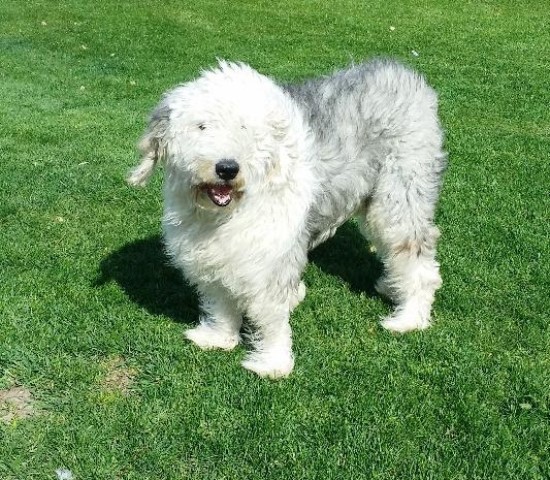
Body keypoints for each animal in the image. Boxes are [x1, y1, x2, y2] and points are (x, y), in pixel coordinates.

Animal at [129, 58, 448, 376]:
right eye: (201, 126)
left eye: (244, 127)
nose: (227, 168)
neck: (225, 213)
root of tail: (400, 69)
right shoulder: (214, 255)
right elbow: (220, 300)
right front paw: (218, 338)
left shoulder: (270, 259)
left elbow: (270, 314)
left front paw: (272, 363)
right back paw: (392, 286)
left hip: (400, 195)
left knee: (418, 262)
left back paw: (409, 318)